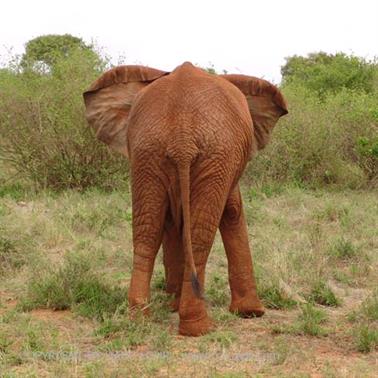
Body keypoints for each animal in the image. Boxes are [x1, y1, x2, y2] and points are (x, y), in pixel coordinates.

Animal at [83, 62, 286, 336]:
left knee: (147, 230)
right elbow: (233, 211)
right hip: (215, 152)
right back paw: (199, 327)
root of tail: (182, 133)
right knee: (199, 236)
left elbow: (171, 221)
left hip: (149, 150)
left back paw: (139, 319)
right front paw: (252, 313)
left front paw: (172, 304)